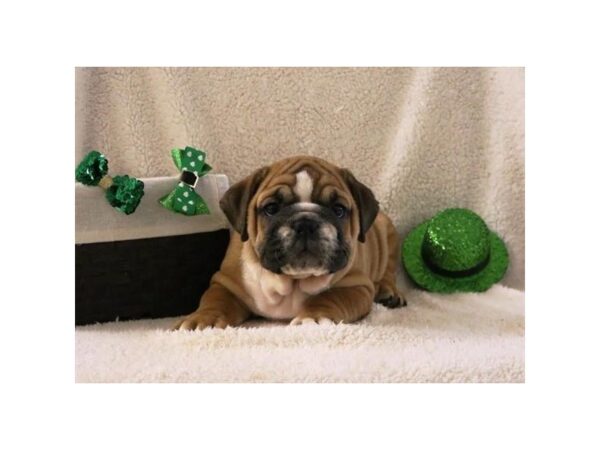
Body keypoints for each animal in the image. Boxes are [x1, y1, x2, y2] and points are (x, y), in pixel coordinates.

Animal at [175, 156, 408, 330]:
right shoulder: (226, 283)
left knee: (388, 270)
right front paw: (203, 319)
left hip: (389, 237)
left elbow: (330, 297)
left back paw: (388, 292)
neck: (292, 281)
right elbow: (215, 300)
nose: (306, 223)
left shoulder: (355, 285)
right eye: (271, 208)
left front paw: (313, 317)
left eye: (339, 210)